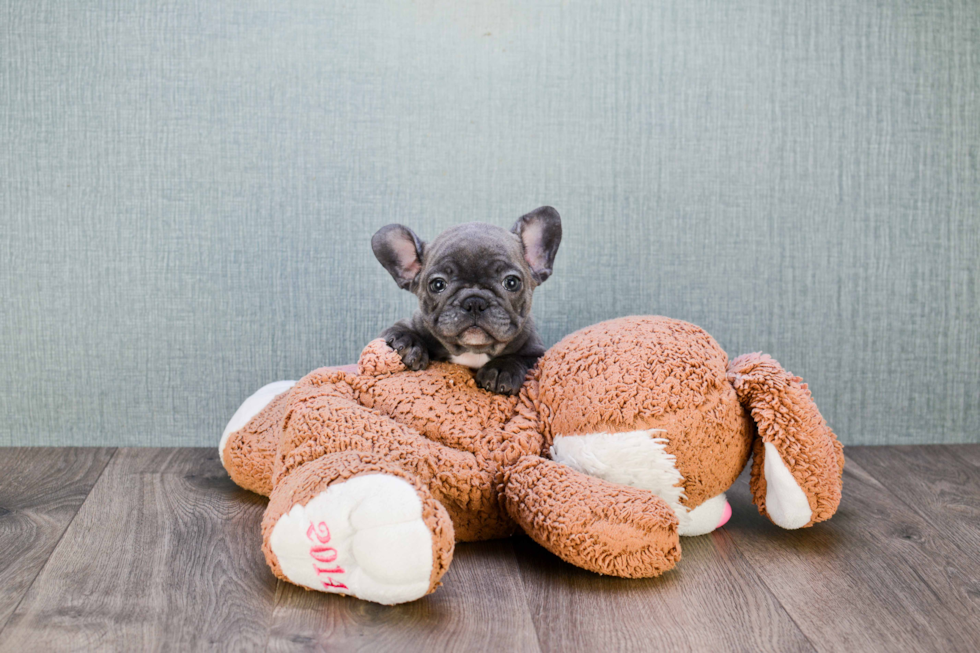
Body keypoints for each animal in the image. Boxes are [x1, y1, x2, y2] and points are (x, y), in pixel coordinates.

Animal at [374, 206, 564, 394]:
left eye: (511, 282)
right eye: (437, 284)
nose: (474, 302)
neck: (473, 352)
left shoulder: (537, 351)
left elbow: (521, 358)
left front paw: (501, 369)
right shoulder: (409, 323)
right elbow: (397, 329)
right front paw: (408, 344)